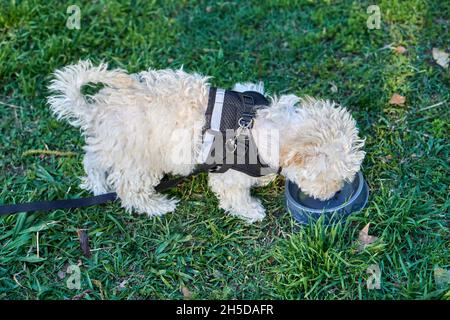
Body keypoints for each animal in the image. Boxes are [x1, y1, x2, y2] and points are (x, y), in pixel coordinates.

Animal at [48, 61, 366, 224]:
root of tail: (95, 110)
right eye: (331, 178)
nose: (334, 194)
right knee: (130, 191)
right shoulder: (229, 175)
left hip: (110, 146)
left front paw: (264, 179)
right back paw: (157, 205)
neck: (259, 128)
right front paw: (252, 211)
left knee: (92, 161)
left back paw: (98, 185)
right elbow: (235, 196)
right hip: (139, 160)